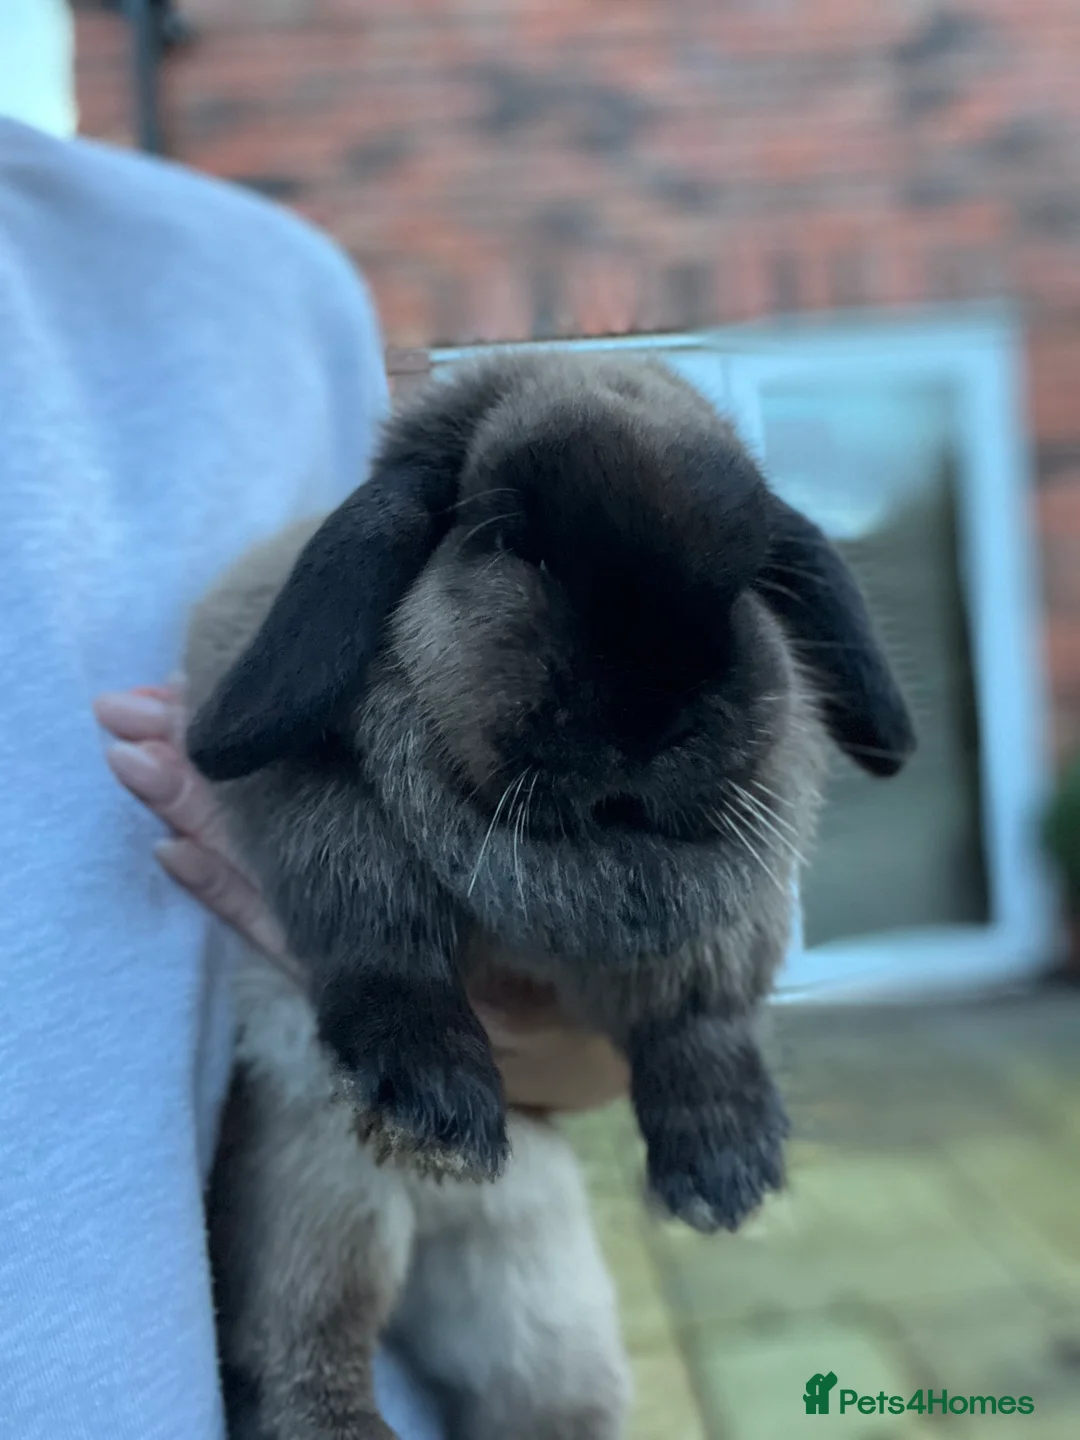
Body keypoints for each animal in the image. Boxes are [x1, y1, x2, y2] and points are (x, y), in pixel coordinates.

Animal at [185, 351, 915, 1440]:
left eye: (749, 577)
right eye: (509, 539)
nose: (650, 712)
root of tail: (444, 1221)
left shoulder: (729, 920)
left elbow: (703, 1021)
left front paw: (728, 1172)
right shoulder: (316, 806)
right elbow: (378, 929)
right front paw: (436, 1103)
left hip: (544, 1305)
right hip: (314, 1205)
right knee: (293, 1359)